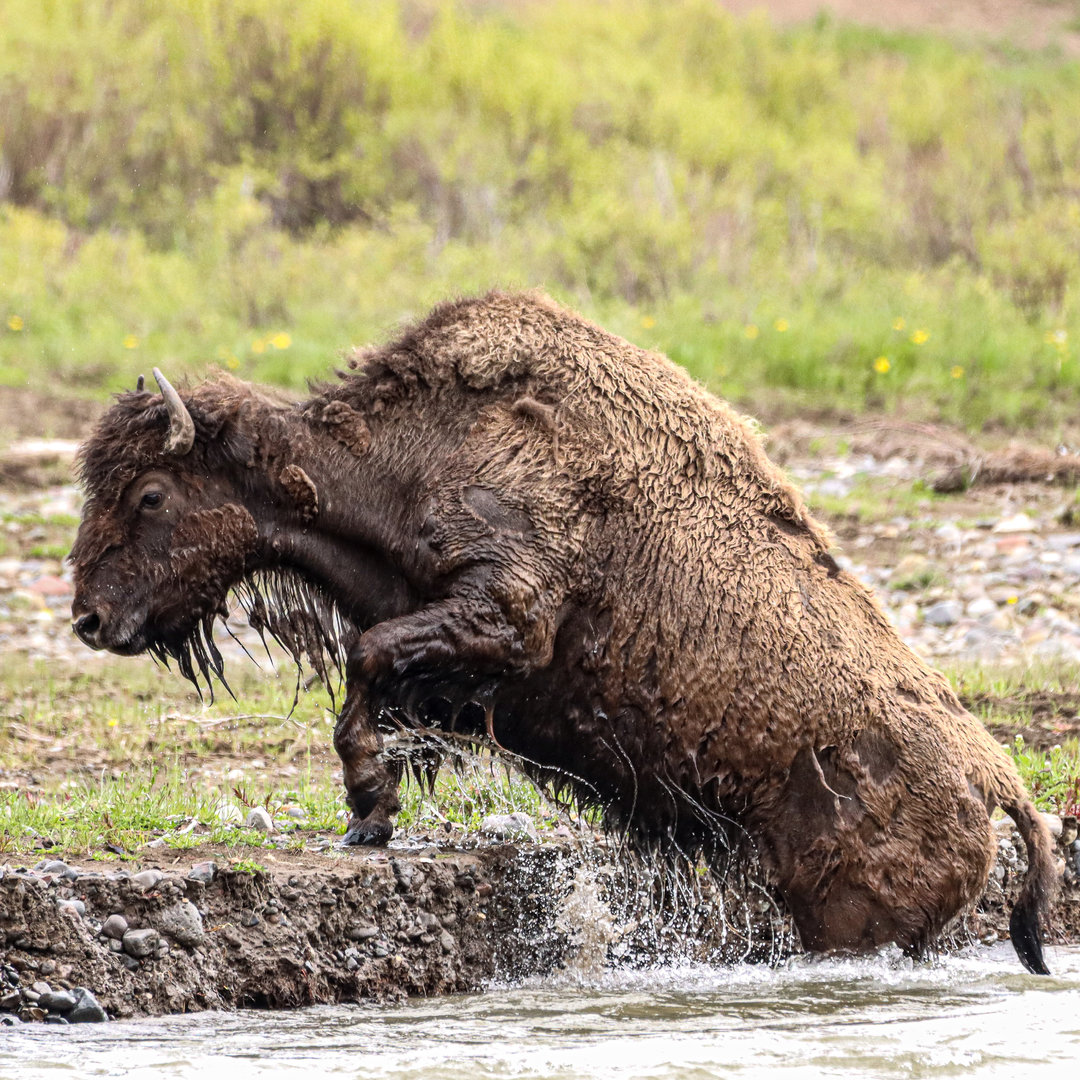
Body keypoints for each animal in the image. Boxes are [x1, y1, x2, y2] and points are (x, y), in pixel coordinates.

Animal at [69, 291, 1054, 972]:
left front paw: (369, 806)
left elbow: (368, 658)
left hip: (851, 918)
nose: (88, 617)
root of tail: (997, 778)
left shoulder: (509, 614)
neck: (405, 460)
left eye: (150, 494)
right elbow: (377, 674)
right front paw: (370, 817)